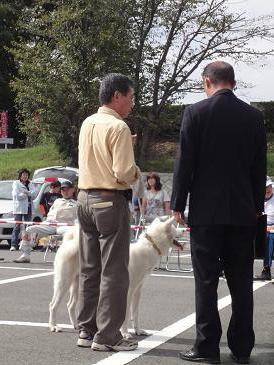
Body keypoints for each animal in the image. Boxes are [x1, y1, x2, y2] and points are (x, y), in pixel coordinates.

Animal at [48, 216, 183, 336]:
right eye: (175, 228)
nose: (184, 229)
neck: (151, 245)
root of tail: (68, 242)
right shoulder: (128, 291)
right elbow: (126, 314)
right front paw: (125, 333)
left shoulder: (138, 290)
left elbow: (135, 313)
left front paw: (138, 331)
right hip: (63, 282)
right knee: (53, 305)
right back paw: (54, 326)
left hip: (77, 284)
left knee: (70, 305)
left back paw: (76, 326)